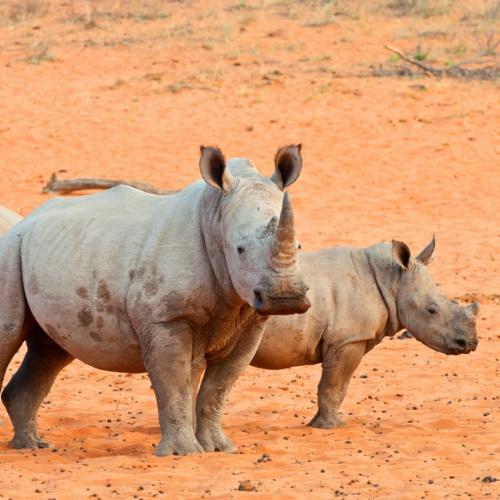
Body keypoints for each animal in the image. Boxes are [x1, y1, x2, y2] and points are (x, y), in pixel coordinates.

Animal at [252, 239, 478, 430]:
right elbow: (333, 385)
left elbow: (340, 387)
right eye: (431, 310)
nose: (470, 343)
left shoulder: (350, 339)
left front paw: (321, 424)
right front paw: (330, 427)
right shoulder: (348, 339)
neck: (391, 282)